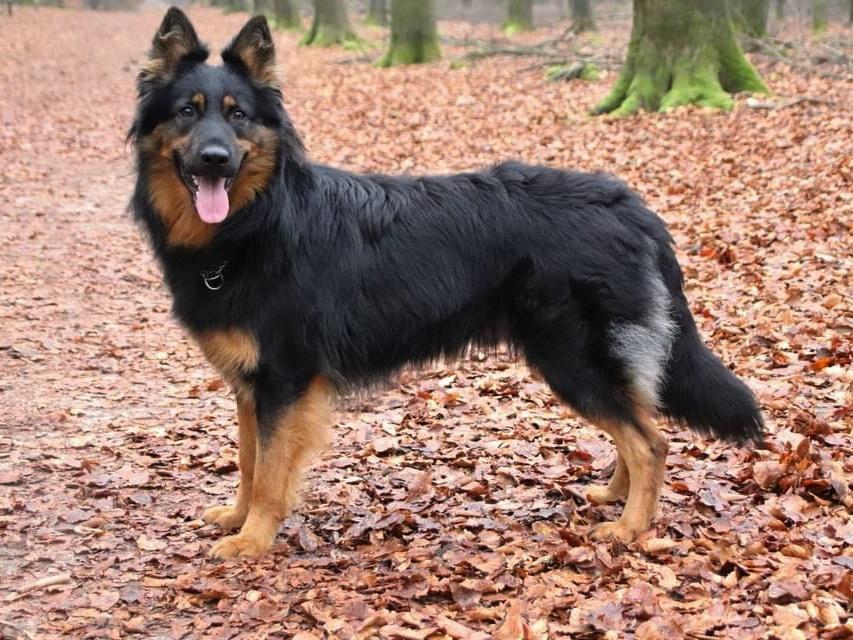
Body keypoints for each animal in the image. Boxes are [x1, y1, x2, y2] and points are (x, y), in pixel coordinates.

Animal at [129, 8, 763, 558]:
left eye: (237, 115)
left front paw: (253, 539)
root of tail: (630, 205)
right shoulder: (250, 384)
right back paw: (614, 494)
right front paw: (237, 517)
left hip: (571, 357)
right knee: (637, 421)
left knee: (651, 440)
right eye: (187, 112)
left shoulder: (284, 381)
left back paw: (631, 528)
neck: (257, 221)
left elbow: (268, 473)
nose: (215, 159)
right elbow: (247, 460)